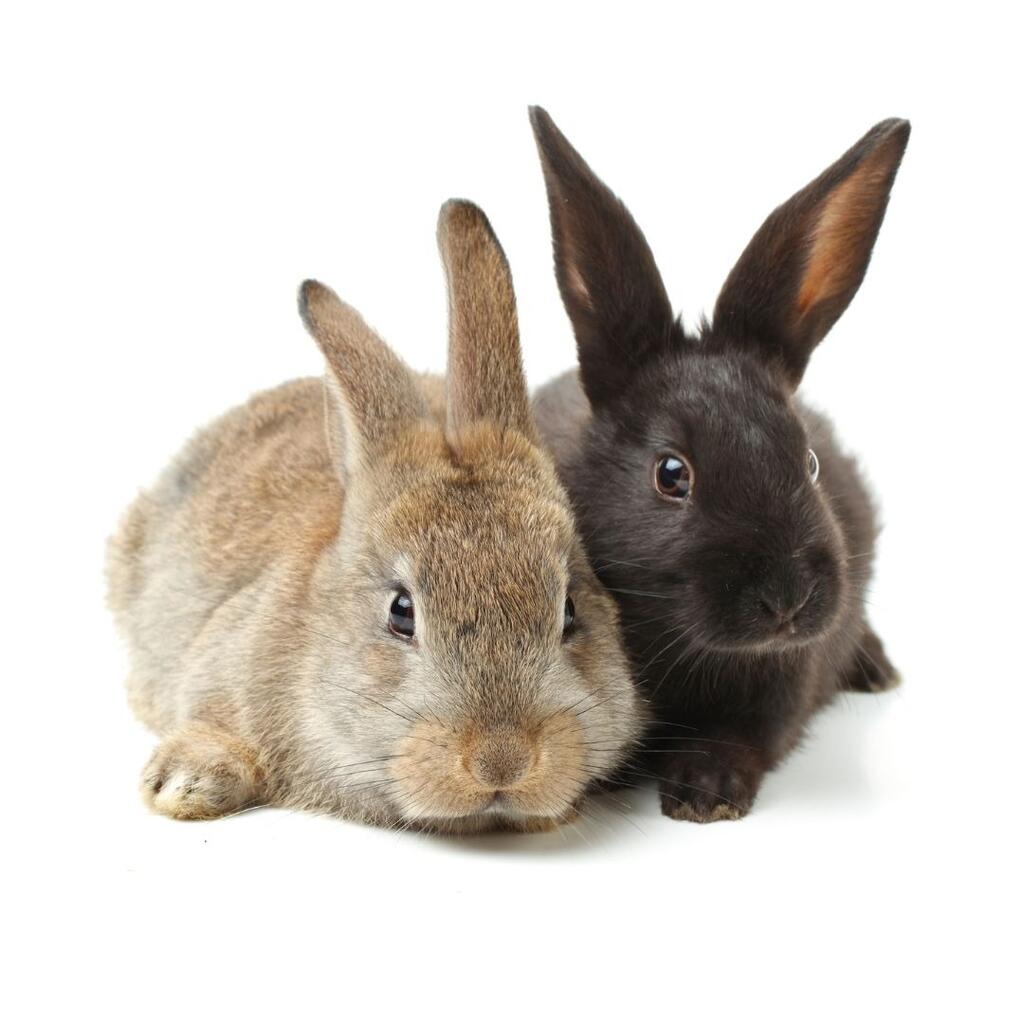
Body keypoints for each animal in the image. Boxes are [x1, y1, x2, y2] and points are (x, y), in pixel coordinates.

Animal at [528, 107, 909, 822]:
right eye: (671, 474)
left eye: (809, 462)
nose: (788, 599)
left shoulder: (780, 693)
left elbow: (741, 738)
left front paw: (705, 795)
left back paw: (877, 670)